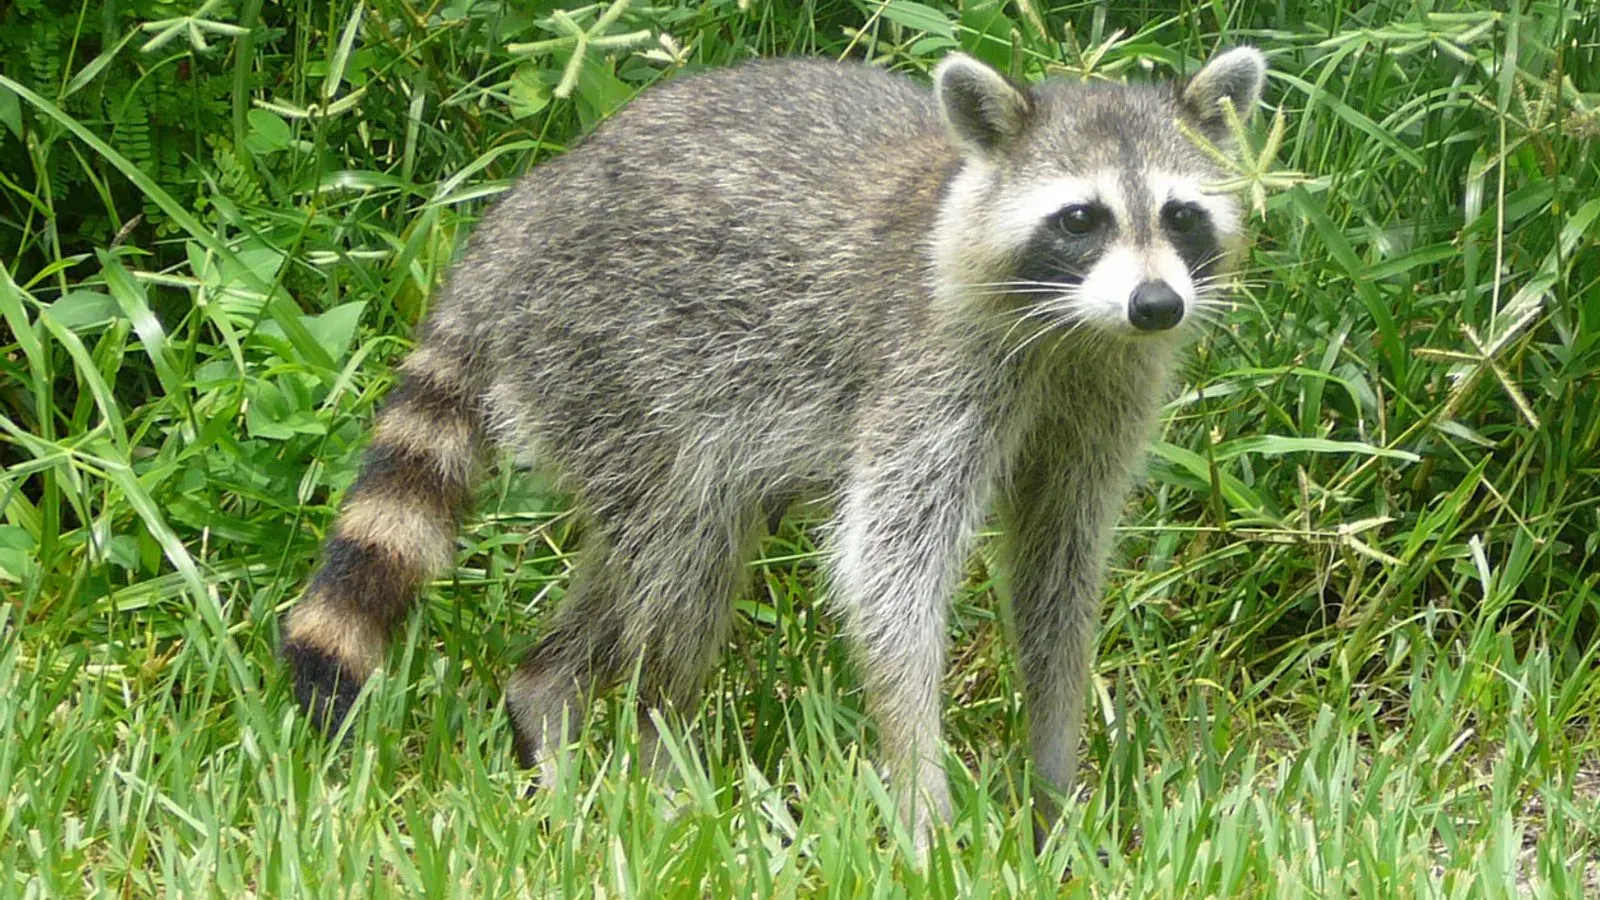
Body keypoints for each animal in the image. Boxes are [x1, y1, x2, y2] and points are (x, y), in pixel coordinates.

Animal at [282, 47, 1267, 852]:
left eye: (1181, 215)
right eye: (1080, 218)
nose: (1156, 305)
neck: (1074, 330)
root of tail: (513, 224)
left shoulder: (1106, 391)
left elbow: (1058, 574)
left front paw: (1054, 792)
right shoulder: (927, 366)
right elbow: (888, 574)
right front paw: (923, 796)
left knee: (658, 561)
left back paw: (548, 696)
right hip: (615, 366)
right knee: (683, 566)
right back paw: (658, 755)